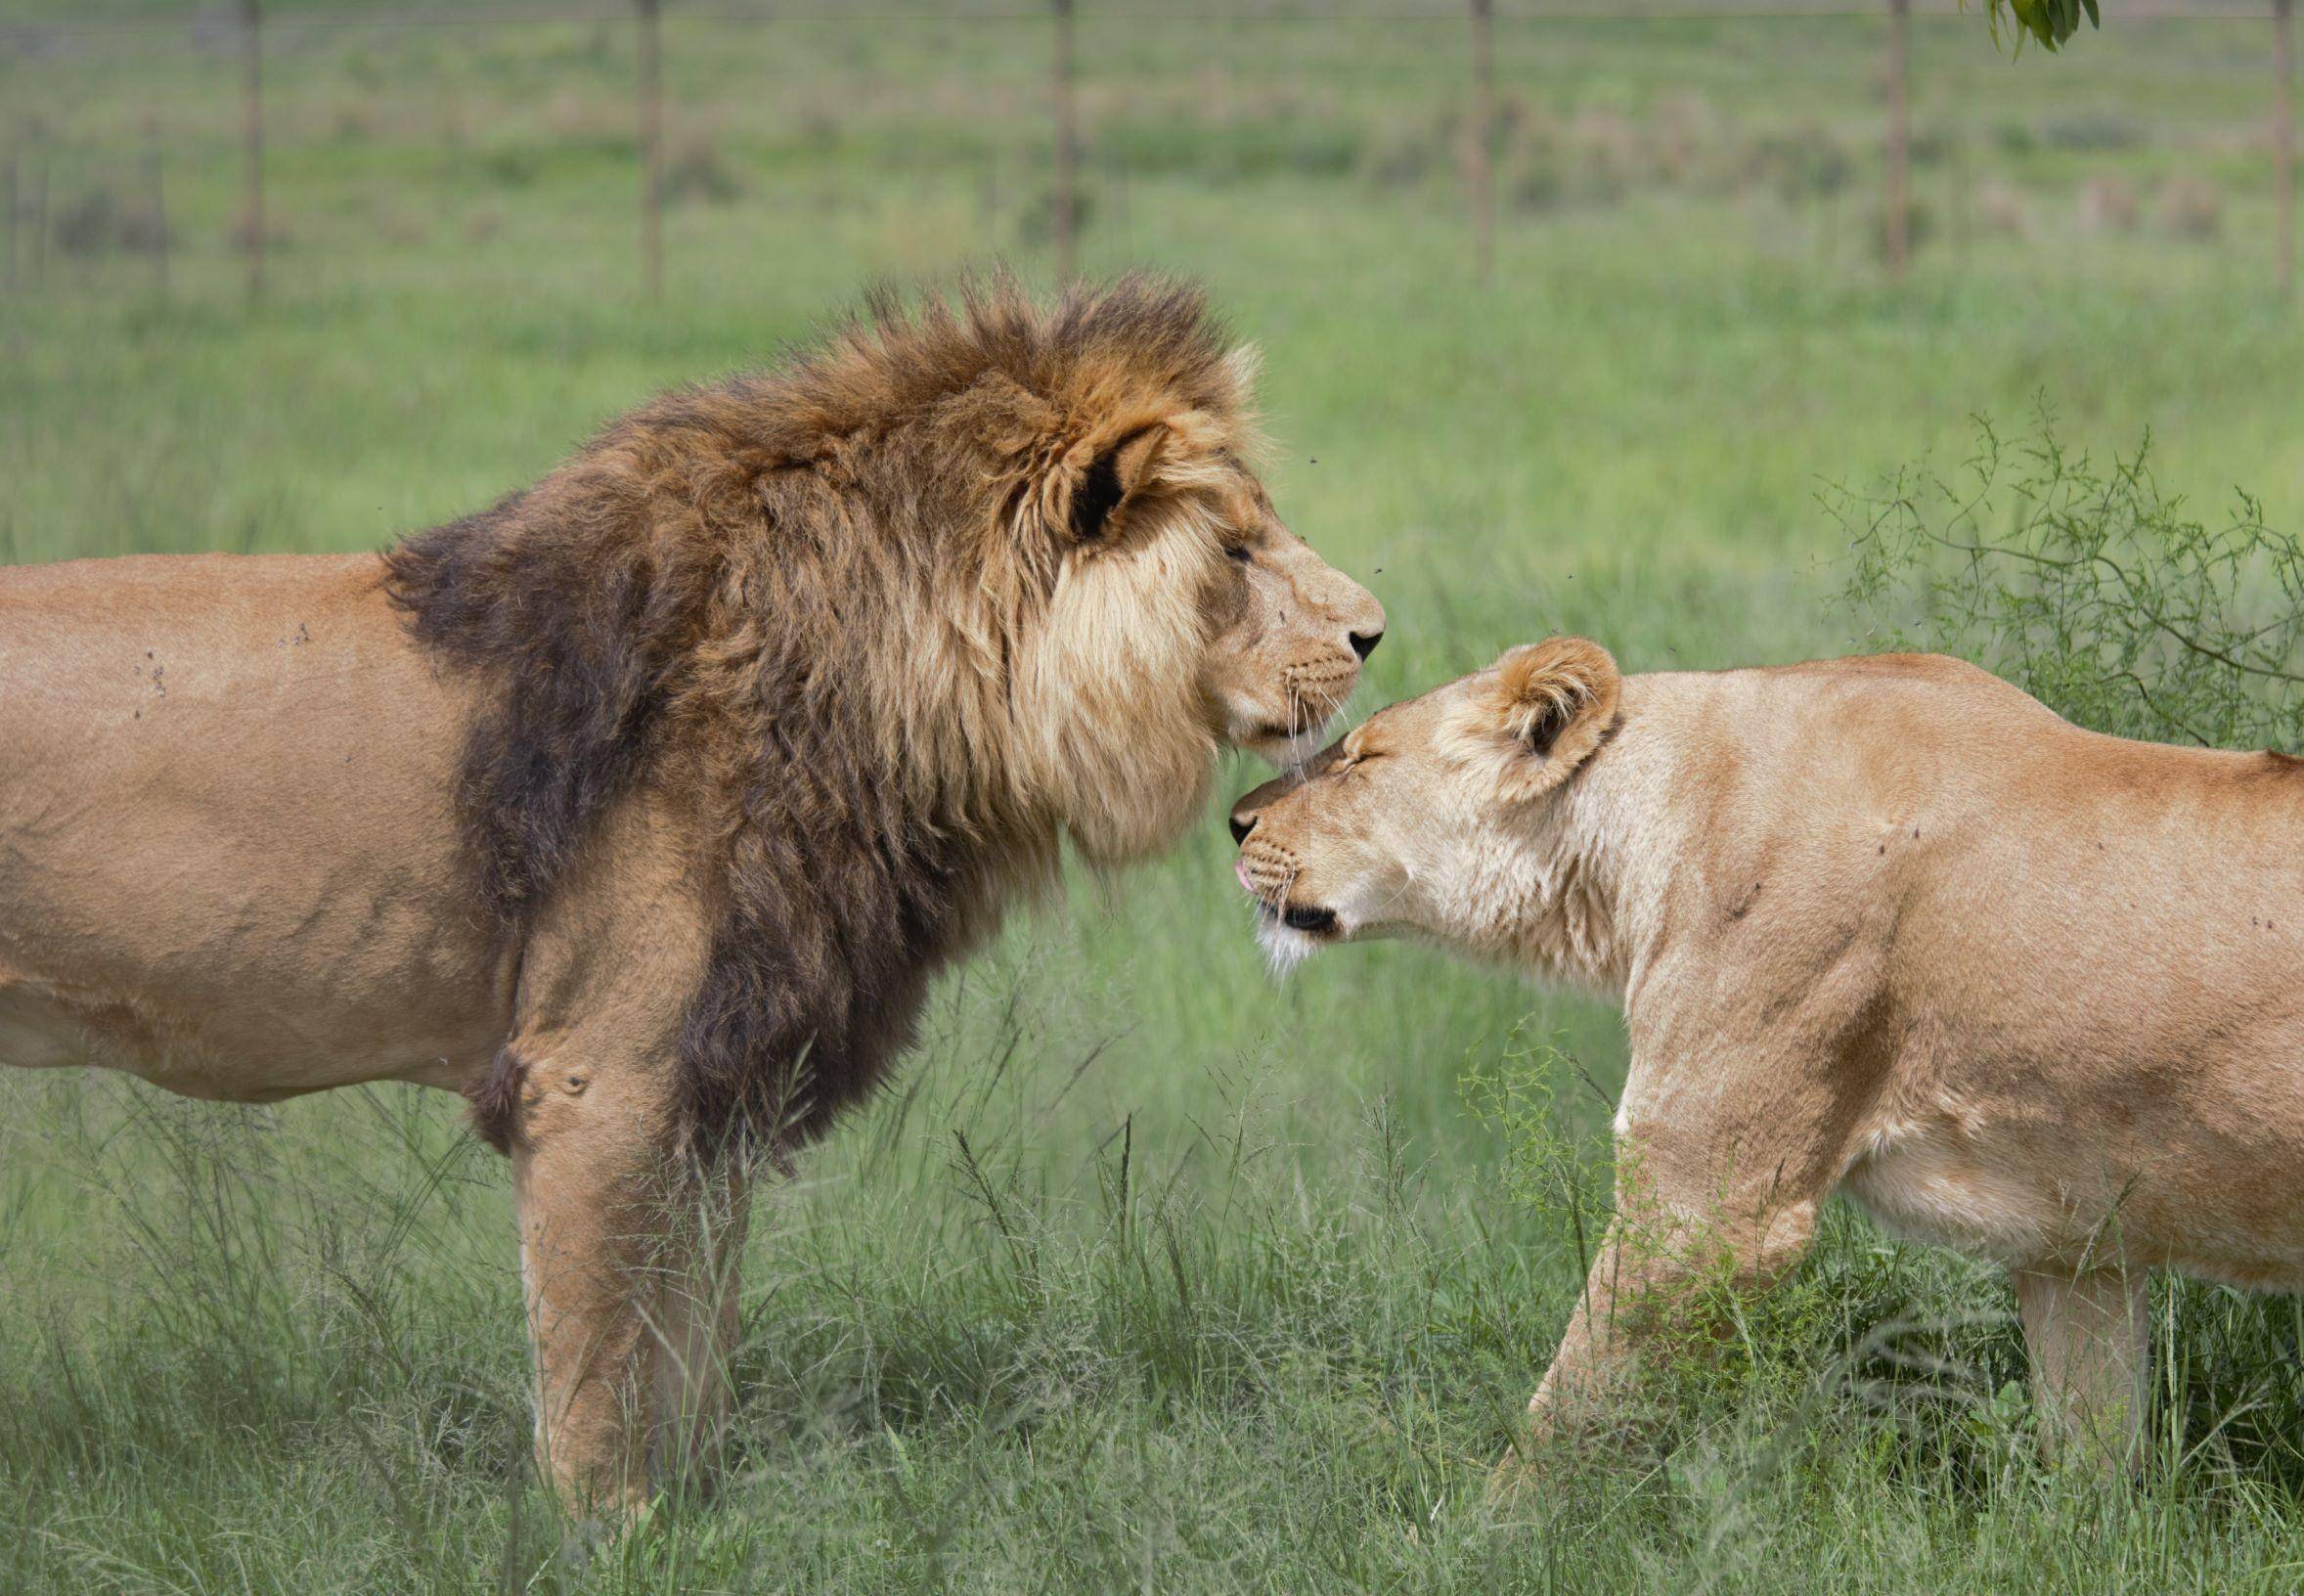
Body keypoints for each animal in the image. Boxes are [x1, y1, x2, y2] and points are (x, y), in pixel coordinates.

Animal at [0, 274, 1382, 1510]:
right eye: (1237, 549)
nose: (1374, 632)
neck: (874, 679)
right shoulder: (595, 1076)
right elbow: (598, 1378)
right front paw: (610, 1539)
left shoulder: (719, 1076)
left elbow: (689, 1358)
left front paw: (697, 1517)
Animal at [1234, 631, 2304, 1464]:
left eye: (1361, 756)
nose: (1236, 820)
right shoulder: (2075, 1239)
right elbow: (2092, 1457)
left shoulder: (1708, 1209)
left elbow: (1564, 1420)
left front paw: (1480, 1544)